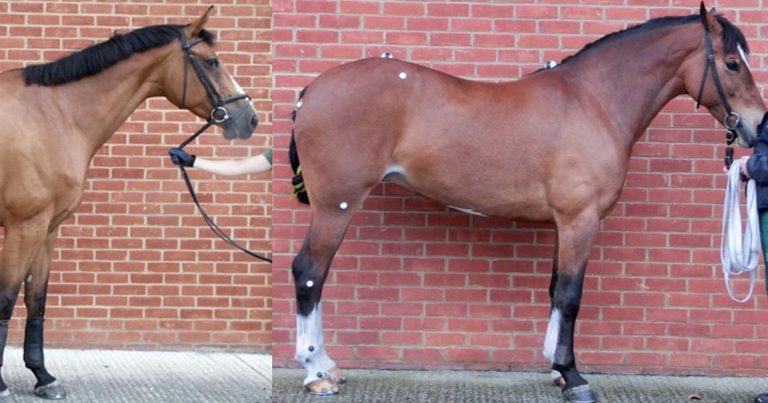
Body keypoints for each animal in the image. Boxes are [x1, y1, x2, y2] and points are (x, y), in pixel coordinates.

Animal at [0, 7, 256, 400]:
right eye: (212, 62)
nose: (249, 119)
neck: (55, 115)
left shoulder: (47, 228)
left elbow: (36, 300)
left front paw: (43, 376)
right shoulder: (23, 227)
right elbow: (6, 300)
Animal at [287, 4, 766, 402]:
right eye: (731, 63)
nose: (757, 126)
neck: (592, 102)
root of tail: (312, 90)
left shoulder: (565, 223)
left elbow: (555, 290)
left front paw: (555, 367)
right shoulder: (580, 221)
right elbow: (571, 296)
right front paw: (573, 377)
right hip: (336, 207)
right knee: (309, 274)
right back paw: (318, 372)